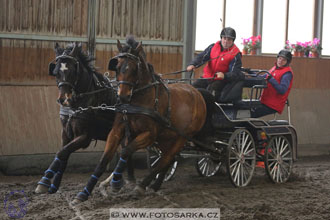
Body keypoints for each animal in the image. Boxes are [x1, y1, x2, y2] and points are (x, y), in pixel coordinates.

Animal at [34, 42, 135, 194]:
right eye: (56, 72)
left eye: (72, 71)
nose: (63, 100)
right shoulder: (66, 133)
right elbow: (64, 155)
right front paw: (53, 185)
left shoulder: (85, 137)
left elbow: (61, 152)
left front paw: (44, 182)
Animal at [72, 37, 206, 204]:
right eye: (117, 67)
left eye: (134, 69)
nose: (123, 96)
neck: (138, 100)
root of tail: (197, 93)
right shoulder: (117, 130)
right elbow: (104, 160)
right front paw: (83, 193)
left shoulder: (149, 135)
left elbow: (125, 151)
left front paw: (116, 183)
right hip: (167, 136)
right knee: (169, 158)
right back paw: (155, 185)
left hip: (183, 136)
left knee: (166, 158)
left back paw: (142, 186)